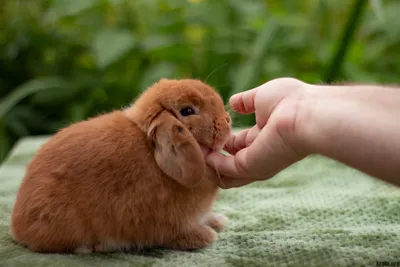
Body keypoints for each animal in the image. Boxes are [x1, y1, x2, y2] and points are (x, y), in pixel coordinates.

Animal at [10, 78, 231, 254]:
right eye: (187, 111)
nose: (227, 121)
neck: (150, 149)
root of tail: (18, 226)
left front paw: (218, 221)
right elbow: (172, 235)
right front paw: (205, 236)